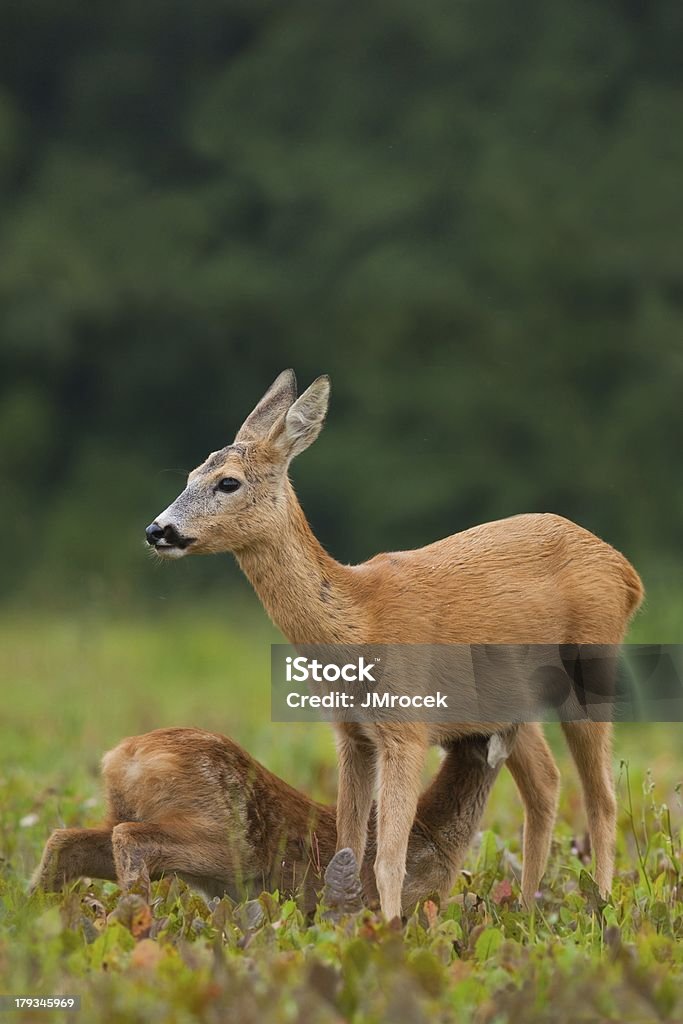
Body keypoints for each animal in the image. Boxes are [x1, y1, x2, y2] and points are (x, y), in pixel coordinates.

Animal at [145, 370, 647, 921]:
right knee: (546, 783)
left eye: (228, 481)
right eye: (190, 475)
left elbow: (389, 858)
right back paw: (527, 906)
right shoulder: (351, 735)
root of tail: (628, 574)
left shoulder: (407, 729)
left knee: (601, 797)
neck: (360, 621)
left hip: (590, 668)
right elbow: (345, 846)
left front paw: (389, 929)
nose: (157, 530)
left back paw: (601, 905)